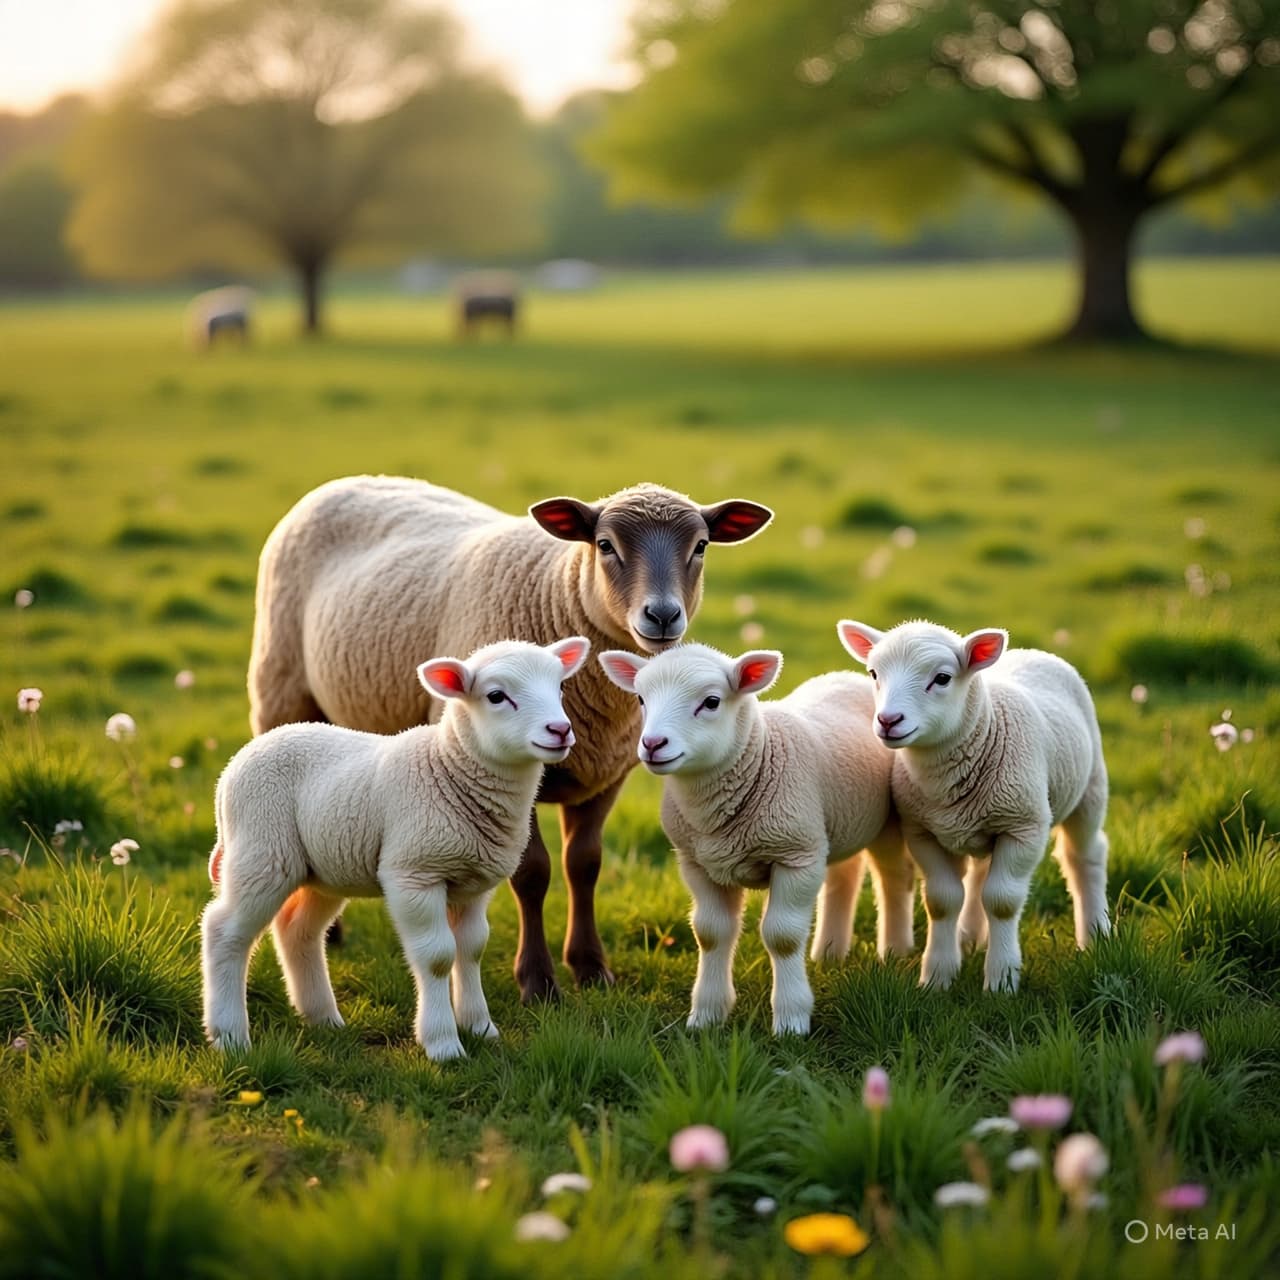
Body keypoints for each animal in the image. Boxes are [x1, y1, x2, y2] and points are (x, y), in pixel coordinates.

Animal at [203, 637, 591, 1062]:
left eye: (560, 688)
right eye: (496, 696)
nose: (560, 730)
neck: (450, 768)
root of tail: (231, 770)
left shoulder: (473, 883)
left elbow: (471, 949)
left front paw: (480, 1027)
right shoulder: (414, 873)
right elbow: (437, 956)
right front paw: (443, 1043)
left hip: (322, 867)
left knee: (297, 929)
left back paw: (323, 1018)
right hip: (262, 849)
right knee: (224, 931)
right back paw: (230, 1037)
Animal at [248, 476, 773, 1003]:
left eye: (701, 546)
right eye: (605, 545)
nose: (663, 615)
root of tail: (352, 479)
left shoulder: (606, 774)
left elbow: (584, 865)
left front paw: (590, 968)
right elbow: (532, 872)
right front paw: (538, 982)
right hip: (281, 691)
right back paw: (330, 934)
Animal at [599, 643, 915, 1036]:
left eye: (712, 702)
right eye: (641, 699)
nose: (653, 744)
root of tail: (846, 676)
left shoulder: (795, 856)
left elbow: (782, 936)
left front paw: (792, 1021)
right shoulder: (697, 862)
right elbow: (710, 933)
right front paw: (706, 1016)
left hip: (885, 821)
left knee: (893, 877)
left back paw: (895, 952)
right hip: (838, 822)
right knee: (844, 876)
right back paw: (828, 953)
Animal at [836, 619, 1111, 993]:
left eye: (942, 678)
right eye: (874, 673)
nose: (888, 720)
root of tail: (1033, 651)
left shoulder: (1024, 827)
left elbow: (1002, 901)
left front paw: (1001, 980)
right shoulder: (922, 832)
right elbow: (943, 900)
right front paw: (937, 977)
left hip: (1090, 788)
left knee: (1085, 856)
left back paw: (1096, 934)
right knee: (981, 875)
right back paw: (969, 937)